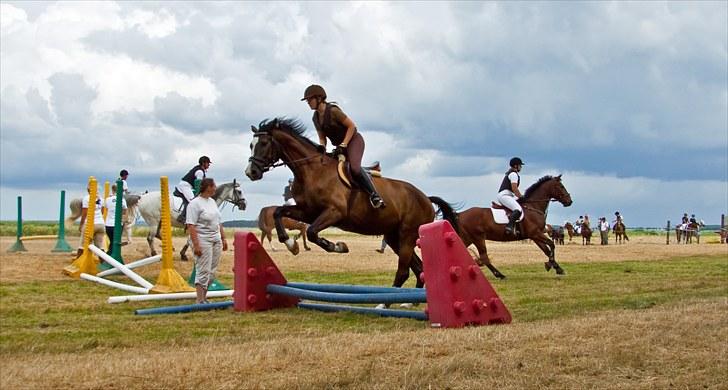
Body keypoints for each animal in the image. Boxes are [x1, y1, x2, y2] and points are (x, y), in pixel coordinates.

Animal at [247, 119, 458, 290]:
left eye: (264, 143)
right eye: (251, 145)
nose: (251, 172)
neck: (312, 171)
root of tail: (425, 198)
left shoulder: (334, 212)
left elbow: (312, 232)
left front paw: (338, 246)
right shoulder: (307, 212)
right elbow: (279, 213)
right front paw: (292, 245)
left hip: (408, 234)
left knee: (404, 270)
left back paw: (384, 305)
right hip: (394, 236)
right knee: (417, 267)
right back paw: (407, 302)